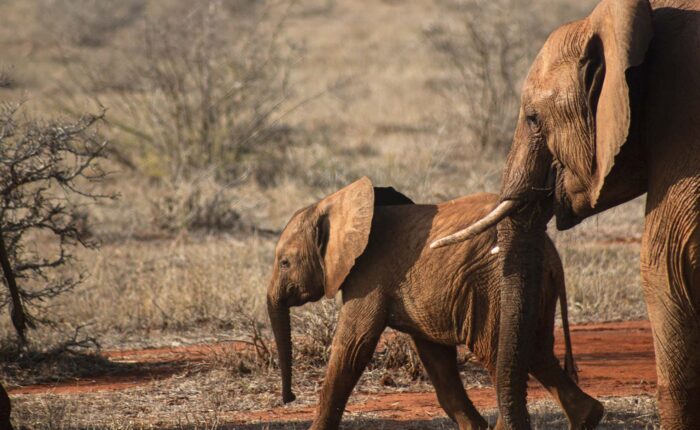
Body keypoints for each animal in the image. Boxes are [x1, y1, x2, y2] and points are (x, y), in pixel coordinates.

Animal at [266, 177, 603, 429]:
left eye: (284, 263)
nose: (289, 398)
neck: (338, 203)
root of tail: (552, 254)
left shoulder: (368, 276)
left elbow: (352, 347)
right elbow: (435, 355)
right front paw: (473, 429)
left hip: (493, 285)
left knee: (499, 354)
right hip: (534, 289)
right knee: (535, 349)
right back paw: (587, 418)